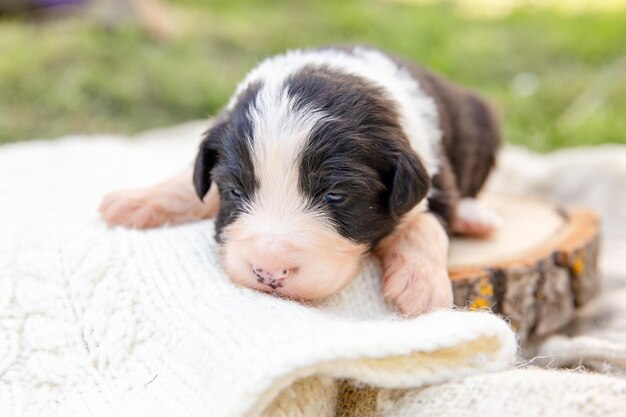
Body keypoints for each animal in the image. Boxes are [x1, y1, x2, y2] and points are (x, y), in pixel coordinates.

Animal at [100, 45, 500, 316]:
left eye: (334, 196)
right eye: (234, 191)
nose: (268, 273)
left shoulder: (435, 174)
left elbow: (425, 223)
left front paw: (420, 286)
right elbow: (188, 179)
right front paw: (135, 202)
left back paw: (476, 218)